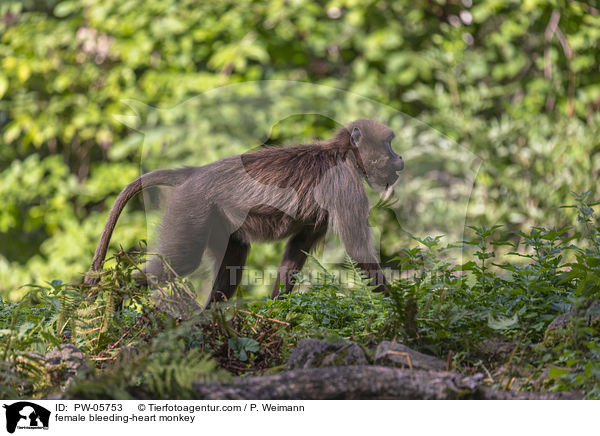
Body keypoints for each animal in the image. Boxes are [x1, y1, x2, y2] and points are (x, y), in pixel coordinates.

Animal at [84, 117, 404, 304]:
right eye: (389, 144)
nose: (400, 157)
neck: (343, 153)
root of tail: (197, 172)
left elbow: (296, 251)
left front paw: (277, 311)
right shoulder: (344, 183)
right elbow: (358, 250)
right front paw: (394, 309)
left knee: (234, 255)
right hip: (192, 206)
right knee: (183, 261)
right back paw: (115, 295)